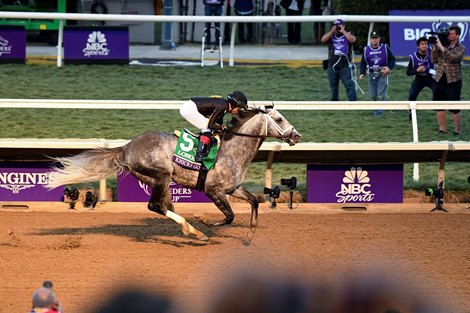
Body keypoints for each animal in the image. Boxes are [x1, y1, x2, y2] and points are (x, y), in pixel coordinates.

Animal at [46, 106, 302, 240]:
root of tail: (126, 148)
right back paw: (194, 230)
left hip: (156, 180)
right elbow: (228, 216)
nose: (296, 135)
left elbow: (255, 202)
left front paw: (250, 234)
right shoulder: (213, 190)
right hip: (162, 175)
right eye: (279, 118)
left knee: (163, 206)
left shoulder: (233, 188)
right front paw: (205, 221)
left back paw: (189, 229)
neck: (232, 150)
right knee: (155, 206)